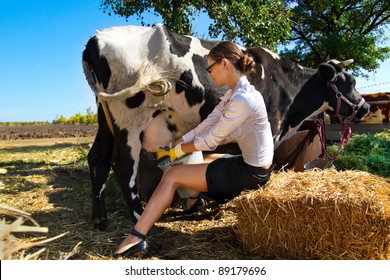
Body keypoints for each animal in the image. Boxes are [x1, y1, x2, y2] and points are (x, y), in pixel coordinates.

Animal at [82, 24, 368, 230]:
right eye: (351, 82)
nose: (364, 108)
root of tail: (95, 40)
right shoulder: (270, 131)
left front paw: (201, 203)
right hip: (129, 119)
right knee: (123, 165)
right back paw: (140, 218)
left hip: (106, 118)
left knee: (98, 157)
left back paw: (100, 219)